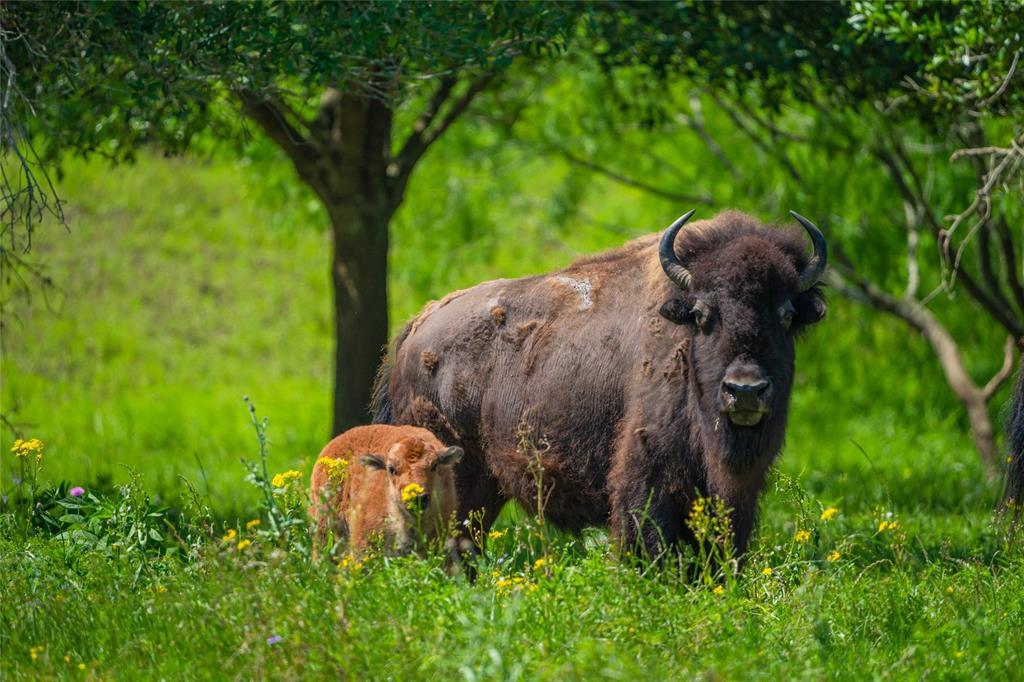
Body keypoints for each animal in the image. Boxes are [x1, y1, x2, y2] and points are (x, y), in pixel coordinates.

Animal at [372, 208, 827, 557]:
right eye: (701, 314)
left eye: (787, 315)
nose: (745, 390)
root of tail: (417, 327)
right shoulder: (645, 478)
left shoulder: (735, 494)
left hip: (484, 487)